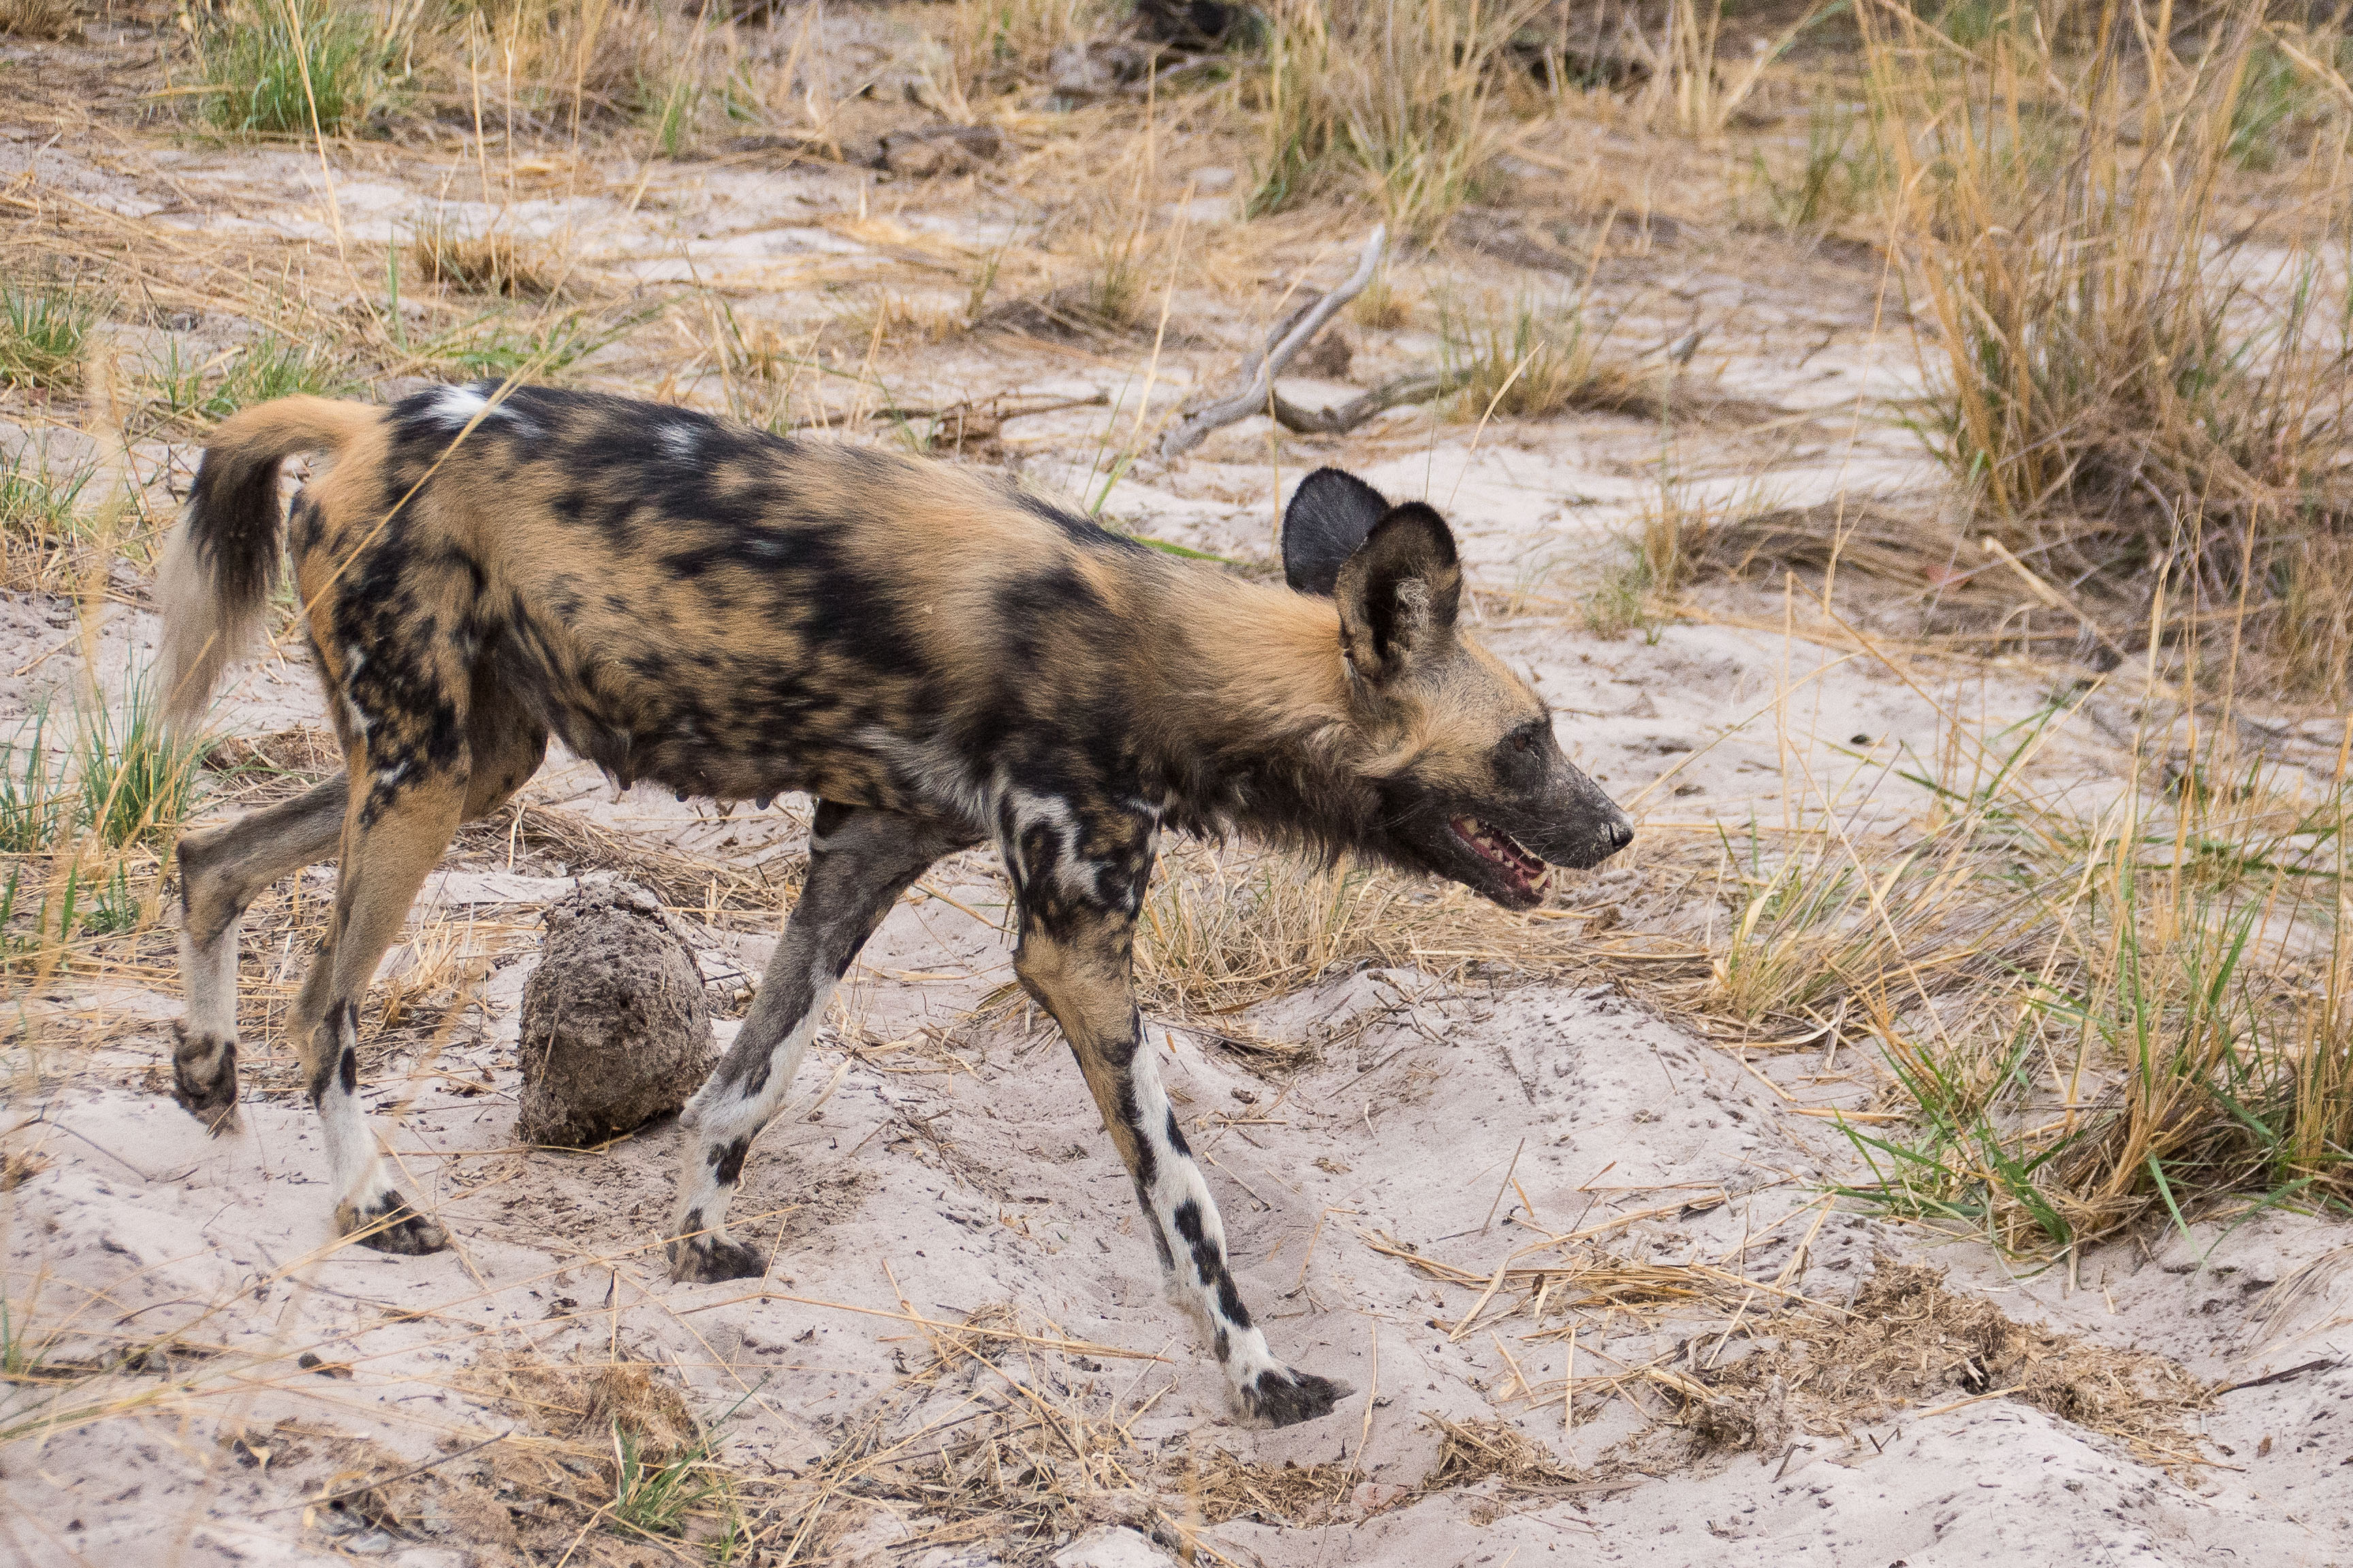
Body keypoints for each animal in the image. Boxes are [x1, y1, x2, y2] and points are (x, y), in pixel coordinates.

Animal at [156, 376, 1628, 1420]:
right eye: (1528, 743)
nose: (1616, 827)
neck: (1175, 659)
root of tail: (361, 416)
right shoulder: (1074, 949)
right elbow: (1186, 1200)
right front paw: (1257, 1374)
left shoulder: (864, 853)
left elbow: (745, 1083)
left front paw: (699, 1241)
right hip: (424, 777)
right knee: (323, 1002)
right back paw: (373, 1203)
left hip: (461, 762)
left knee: (208, 853)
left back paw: (207, 1078)